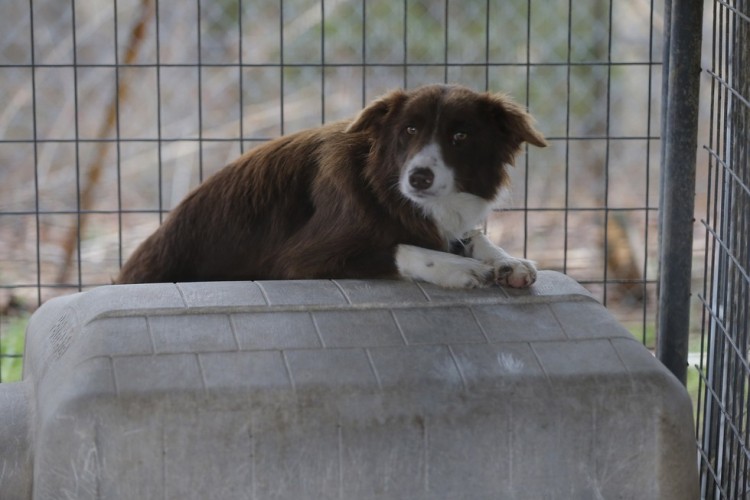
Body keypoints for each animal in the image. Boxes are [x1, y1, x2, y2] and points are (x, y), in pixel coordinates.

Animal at [119, 85, 552, 290]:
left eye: (460, 136)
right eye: (409, 130)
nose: (418, 178)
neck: (386, 190)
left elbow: (472, 236)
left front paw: (507, 260)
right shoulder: (297, 260)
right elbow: (399, 248)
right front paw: (457, 267)